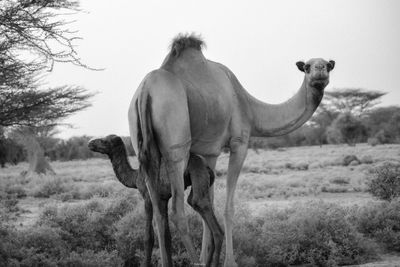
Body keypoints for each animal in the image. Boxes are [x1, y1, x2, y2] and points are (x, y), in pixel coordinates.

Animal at [88, 136, 223, 267]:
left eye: (104, 141)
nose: (90, 143)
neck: (135, 177)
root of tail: (207, 167)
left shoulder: (148, 197)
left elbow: (149, 237)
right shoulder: (162, 199)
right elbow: (166, 236)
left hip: (197, 173)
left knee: (200, 204)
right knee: (199, 204)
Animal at [130, 34, 336, 266]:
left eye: (328, 65)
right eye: (307, 67)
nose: (319, 70)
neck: (251, 109)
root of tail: (145, 91)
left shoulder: (210, 152)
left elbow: (207, 201)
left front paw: (208, 257)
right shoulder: (239, 142)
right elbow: (228, 207)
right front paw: (229, 261)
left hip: (145, 149)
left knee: (157, 210)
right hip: (175, 144)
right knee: (176, 210)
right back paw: (194, 261)